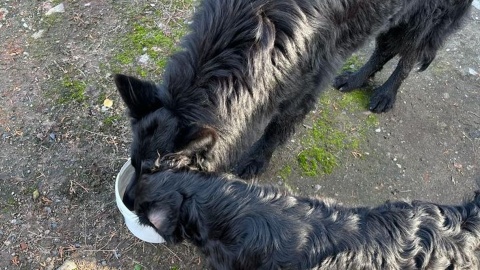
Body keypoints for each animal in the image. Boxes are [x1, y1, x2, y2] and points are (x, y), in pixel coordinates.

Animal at [117, 0, 472, 209]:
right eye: (133, 165)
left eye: (157, 176)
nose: (128, 202)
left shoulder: (303, 89)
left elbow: (276, 130)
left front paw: (255, 160)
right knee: (385, 48)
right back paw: (357, 79)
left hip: (422, 17)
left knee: (408, 55)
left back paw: (386, 93)